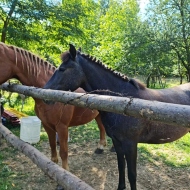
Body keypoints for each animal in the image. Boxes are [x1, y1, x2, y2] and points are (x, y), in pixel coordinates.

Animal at [0, 42, 107, 171]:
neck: (50, 94)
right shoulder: (47, 125)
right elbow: (52, 146)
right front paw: (52, 167)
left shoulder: (62, 127)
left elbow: (64, 152)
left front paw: (65, 172)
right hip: (99, 115)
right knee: (102, 128)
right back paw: (100, 148)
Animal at [43, 44, 190, 190]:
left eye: (62, 69)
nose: (45, 92)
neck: (120, 101)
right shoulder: (117, 141)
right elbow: (121, 166)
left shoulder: (131, 144)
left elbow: (132, 174)